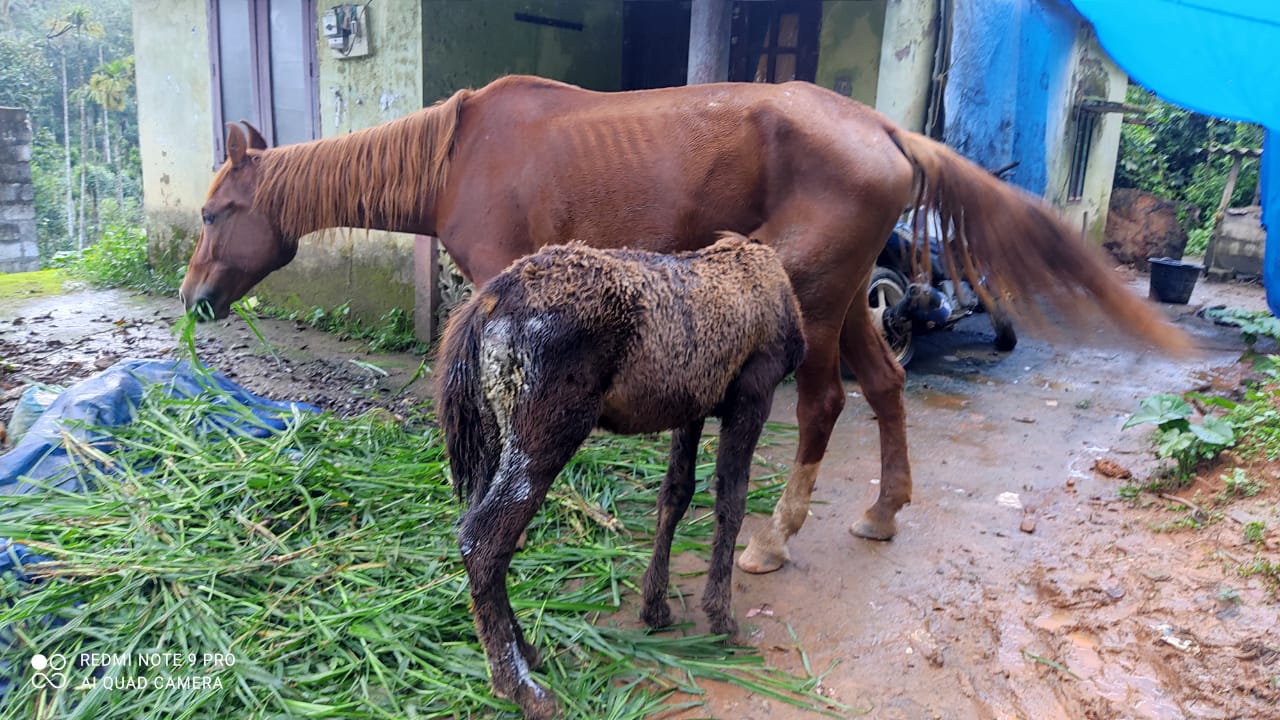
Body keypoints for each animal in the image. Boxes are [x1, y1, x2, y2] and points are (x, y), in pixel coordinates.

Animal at [180, 74, 1187, 571]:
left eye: (213, 212)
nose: (193, 302)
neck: (458, 155)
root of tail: (887, 132)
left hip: (812, 302)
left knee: (824, 405)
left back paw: (774, 539)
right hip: (849, 303)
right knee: (888, 385)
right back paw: (880, 514)